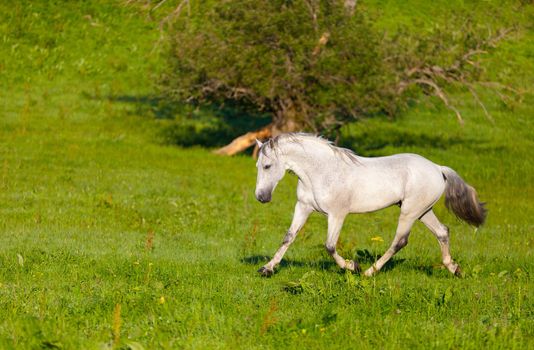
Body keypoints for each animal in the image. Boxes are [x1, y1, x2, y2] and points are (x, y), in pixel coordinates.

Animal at [253, 133, 488, 278]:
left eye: (267, 166)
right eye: (257, 165)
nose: (261, 197)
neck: (321, 171)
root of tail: (438, 168)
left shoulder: (337, 214)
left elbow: (330, 246)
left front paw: (352, 267)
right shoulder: (303, 207)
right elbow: (289, 237)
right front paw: (267, 268)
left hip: (409, 212)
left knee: (400, 241)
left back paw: (369, 272)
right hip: (423, 211)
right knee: (442, 232)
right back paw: (454, 269)